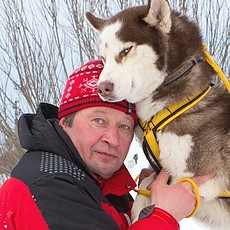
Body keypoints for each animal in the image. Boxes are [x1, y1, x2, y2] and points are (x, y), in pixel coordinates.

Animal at [86, 0, 230, 228]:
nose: (103, 88)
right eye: (103, 58)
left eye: (126, 50)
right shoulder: (163, 170)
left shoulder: (199, 180)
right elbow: (146, 182)